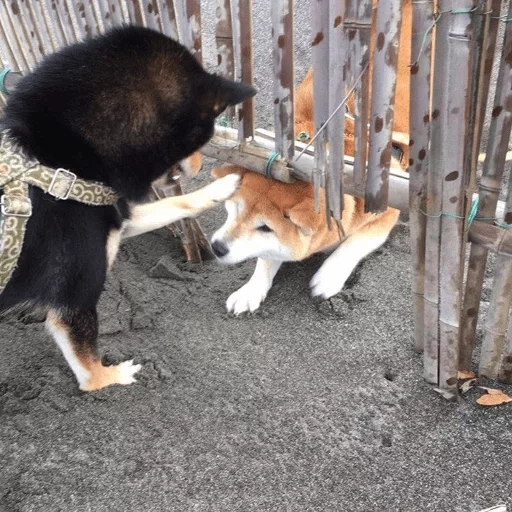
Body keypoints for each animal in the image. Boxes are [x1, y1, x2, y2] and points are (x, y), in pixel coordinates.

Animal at [0, 24, 256, 390]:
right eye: (205, 135)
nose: (199, 165)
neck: (62, 161)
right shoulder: (73, 298)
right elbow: (87, 367)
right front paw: (113, 375)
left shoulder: (117, 214)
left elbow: (176, 202)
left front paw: (222, 187)